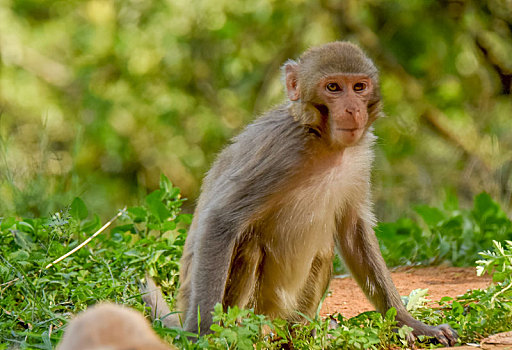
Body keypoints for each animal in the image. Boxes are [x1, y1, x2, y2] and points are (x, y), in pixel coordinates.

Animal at [142, 41, 458, 344]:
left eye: (359, 87)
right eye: (333, 87)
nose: (353, 109)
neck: (323, 140)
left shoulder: (360, 158)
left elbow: (352, 232)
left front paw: (411, 324)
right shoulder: (280, 150)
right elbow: (221, 220)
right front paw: (204, 333)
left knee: (324, 250)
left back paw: (300, 333)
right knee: (248, 246)